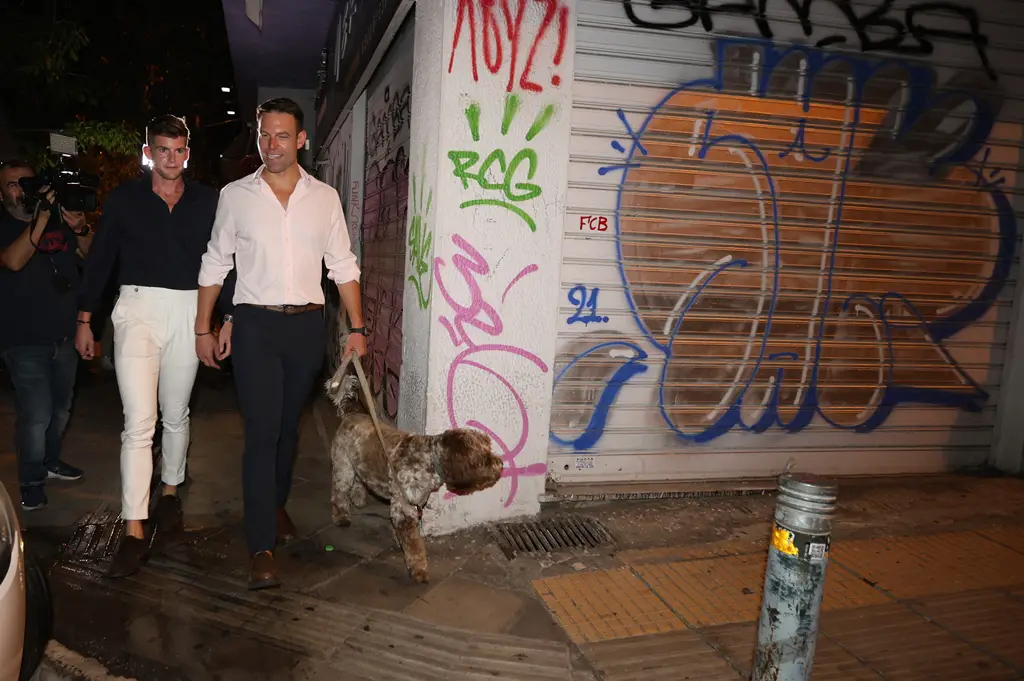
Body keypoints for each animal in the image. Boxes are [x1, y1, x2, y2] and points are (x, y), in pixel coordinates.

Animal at [325, 368, 504, 583]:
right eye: (484, 455)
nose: (501, 464)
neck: (430, 458)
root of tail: (351, 413)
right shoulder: (404, 506)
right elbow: (414, 544)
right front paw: (418, 569)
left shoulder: (416, 503)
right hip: (343, 468)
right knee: (338, 493)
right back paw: (341, 516)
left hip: (358, 464)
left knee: (359, 481)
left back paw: (359, 498)